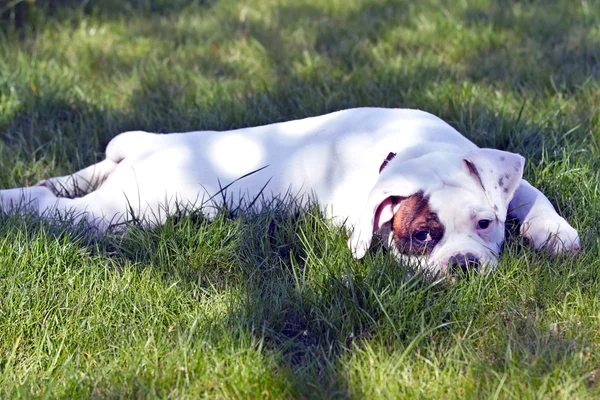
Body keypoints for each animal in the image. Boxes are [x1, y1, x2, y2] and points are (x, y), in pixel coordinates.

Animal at [0, 108, 580, 274]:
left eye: (485, 224)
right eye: (421, 237)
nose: (464, 265)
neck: (413, 147)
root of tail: (150, 145)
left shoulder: (505, 177)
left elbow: (530, 194)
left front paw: (554, 233)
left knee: (65, 183)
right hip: (124, 208)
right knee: (53, 205)